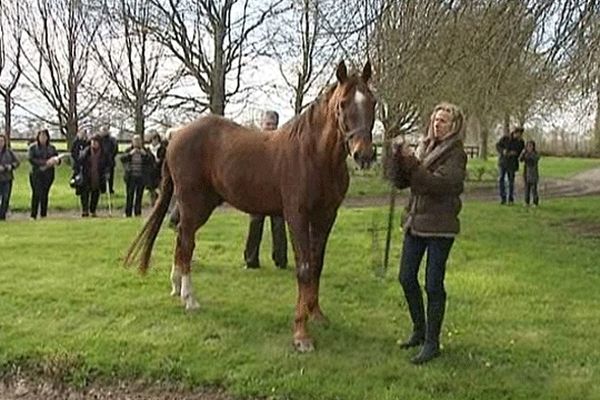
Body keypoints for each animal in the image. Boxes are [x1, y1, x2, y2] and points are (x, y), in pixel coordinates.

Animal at [126, 61, 376, 352]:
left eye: (372, 101)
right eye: (343, 104)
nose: (364, 154)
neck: (313, 154)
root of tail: (175, 136)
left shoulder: (326, 217)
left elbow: (317, 265)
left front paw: (316, 315)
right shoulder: (297, 216)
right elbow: (304, 269)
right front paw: (301, 334)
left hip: (202, 205)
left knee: (181, 241)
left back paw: (178, 288)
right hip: (192, 203)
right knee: (187, 242)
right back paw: (190, 299)